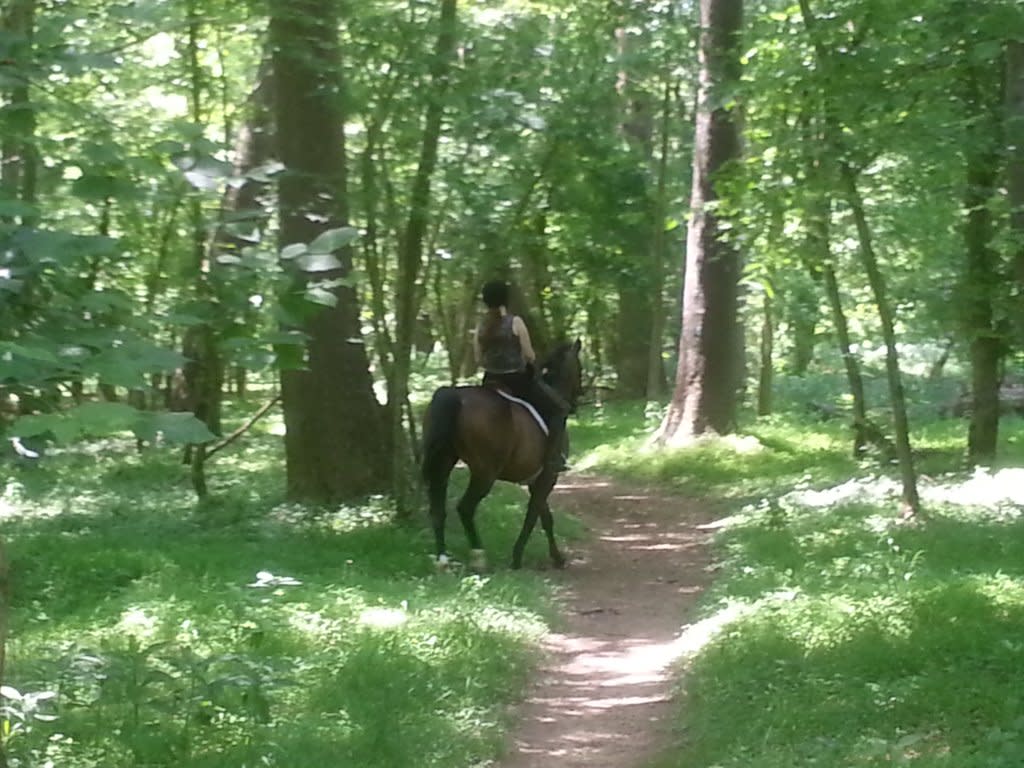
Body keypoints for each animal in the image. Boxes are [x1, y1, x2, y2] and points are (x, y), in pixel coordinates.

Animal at [419, 342, 585, 573]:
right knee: (465, 508)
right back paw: (479, 557)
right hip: (484, 472)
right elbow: (533, 516)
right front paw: (517, 558)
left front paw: (556, 558)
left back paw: (442, 560)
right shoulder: (547, 477)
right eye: (579, 367)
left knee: (438, 509)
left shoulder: (536, 480)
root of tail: (455, 397)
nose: (580, 396)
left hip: (443, 461)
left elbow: (545, 517)